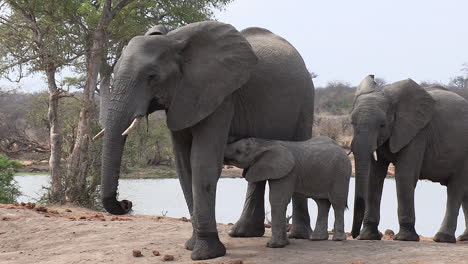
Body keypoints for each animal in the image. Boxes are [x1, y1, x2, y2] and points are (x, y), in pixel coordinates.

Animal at [98, 21, 314, 260]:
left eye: (152, 76)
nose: (126, 202)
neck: (175, 42)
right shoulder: (183, 98)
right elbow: (184, 165)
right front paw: (192, 246)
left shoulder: (220, 95)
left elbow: (203, 161)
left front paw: (205, 253)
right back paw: (243, 233)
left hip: (306, 96)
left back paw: (298, 236)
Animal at [224, 136, 352, 248]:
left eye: (238, 151)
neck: (264, 143)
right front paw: (285, 243)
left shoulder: (287, 172)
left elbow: (277, 199)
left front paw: (274, 246)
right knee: (322, 203)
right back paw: (317, 238)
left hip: (341, 174)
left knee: (337, 203)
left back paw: (338, 239)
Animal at [352, 75, 468, 243]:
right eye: (352, 123)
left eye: (382, 125)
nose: (354, 235)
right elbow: (374, 176)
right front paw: (368, 237)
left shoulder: (417, 133)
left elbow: (404, 175)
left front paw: (405, 238)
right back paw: (463, 238)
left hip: (463, 154)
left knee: (455, 188)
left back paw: (443, 238)